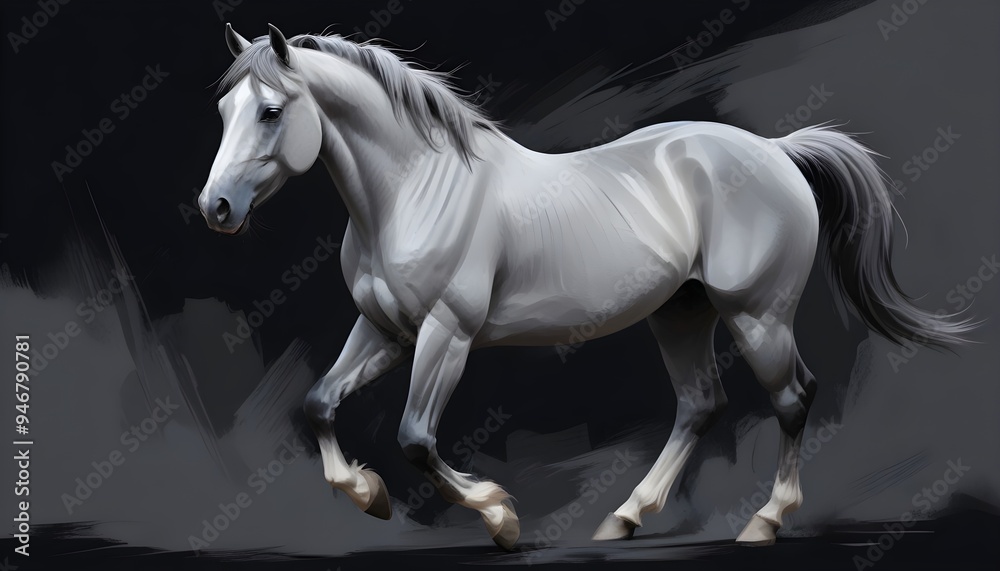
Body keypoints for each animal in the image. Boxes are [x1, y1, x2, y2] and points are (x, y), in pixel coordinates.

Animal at [198, 24, 973, 550]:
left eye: (271, 111)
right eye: (224, 110)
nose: (216, 209)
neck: (417, 188)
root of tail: (777, 152)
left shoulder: (447, 334)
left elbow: (416, 436)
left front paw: (501, 517)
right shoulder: (384, 329)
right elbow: (319, 404)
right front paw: (366, 494)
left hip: (758, 316)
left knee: (792, 397)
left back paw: (763, 520)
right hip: (681, 315)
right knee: (701, 404)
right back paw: (624, 518)